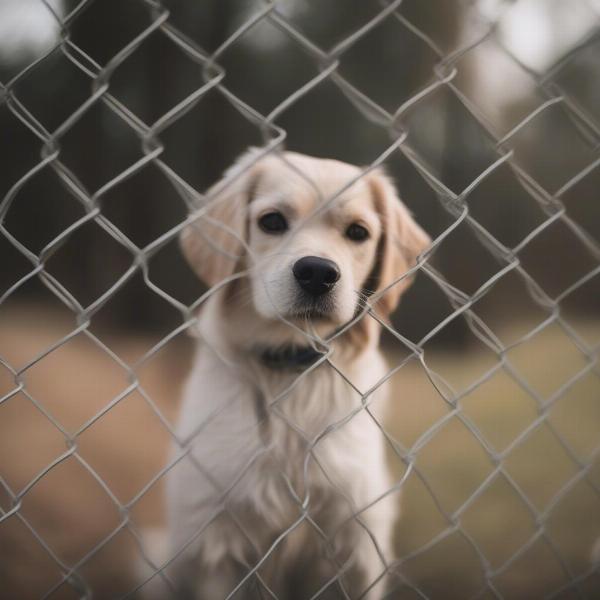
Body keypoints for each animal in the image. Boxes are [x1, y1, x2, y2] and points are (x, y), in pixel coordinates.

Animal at [164, 146, 432, 600]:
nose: (317, 273)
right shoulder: (217, 544)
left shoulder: (358, 543)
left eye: (358, 232)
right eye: (271, 221)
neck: (290, 370)